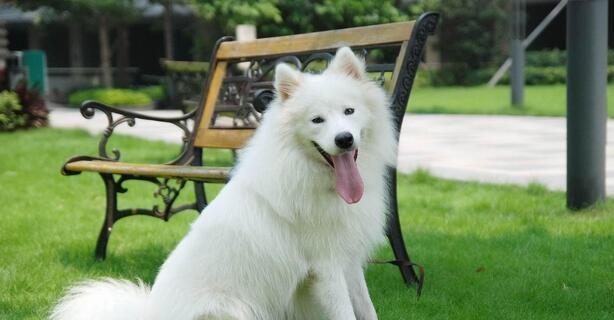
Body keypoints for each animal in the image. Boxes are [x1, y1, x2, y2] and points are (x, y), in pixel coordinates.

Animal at [51, 47, 400, 320]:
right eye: (317, 120)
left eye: (349, 111)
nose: (344, 139)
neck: (315, 177)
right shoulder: (326, 268)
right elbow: (347, 313)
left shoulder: (348, 260)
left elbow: (367, 308)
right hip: (230, 309)